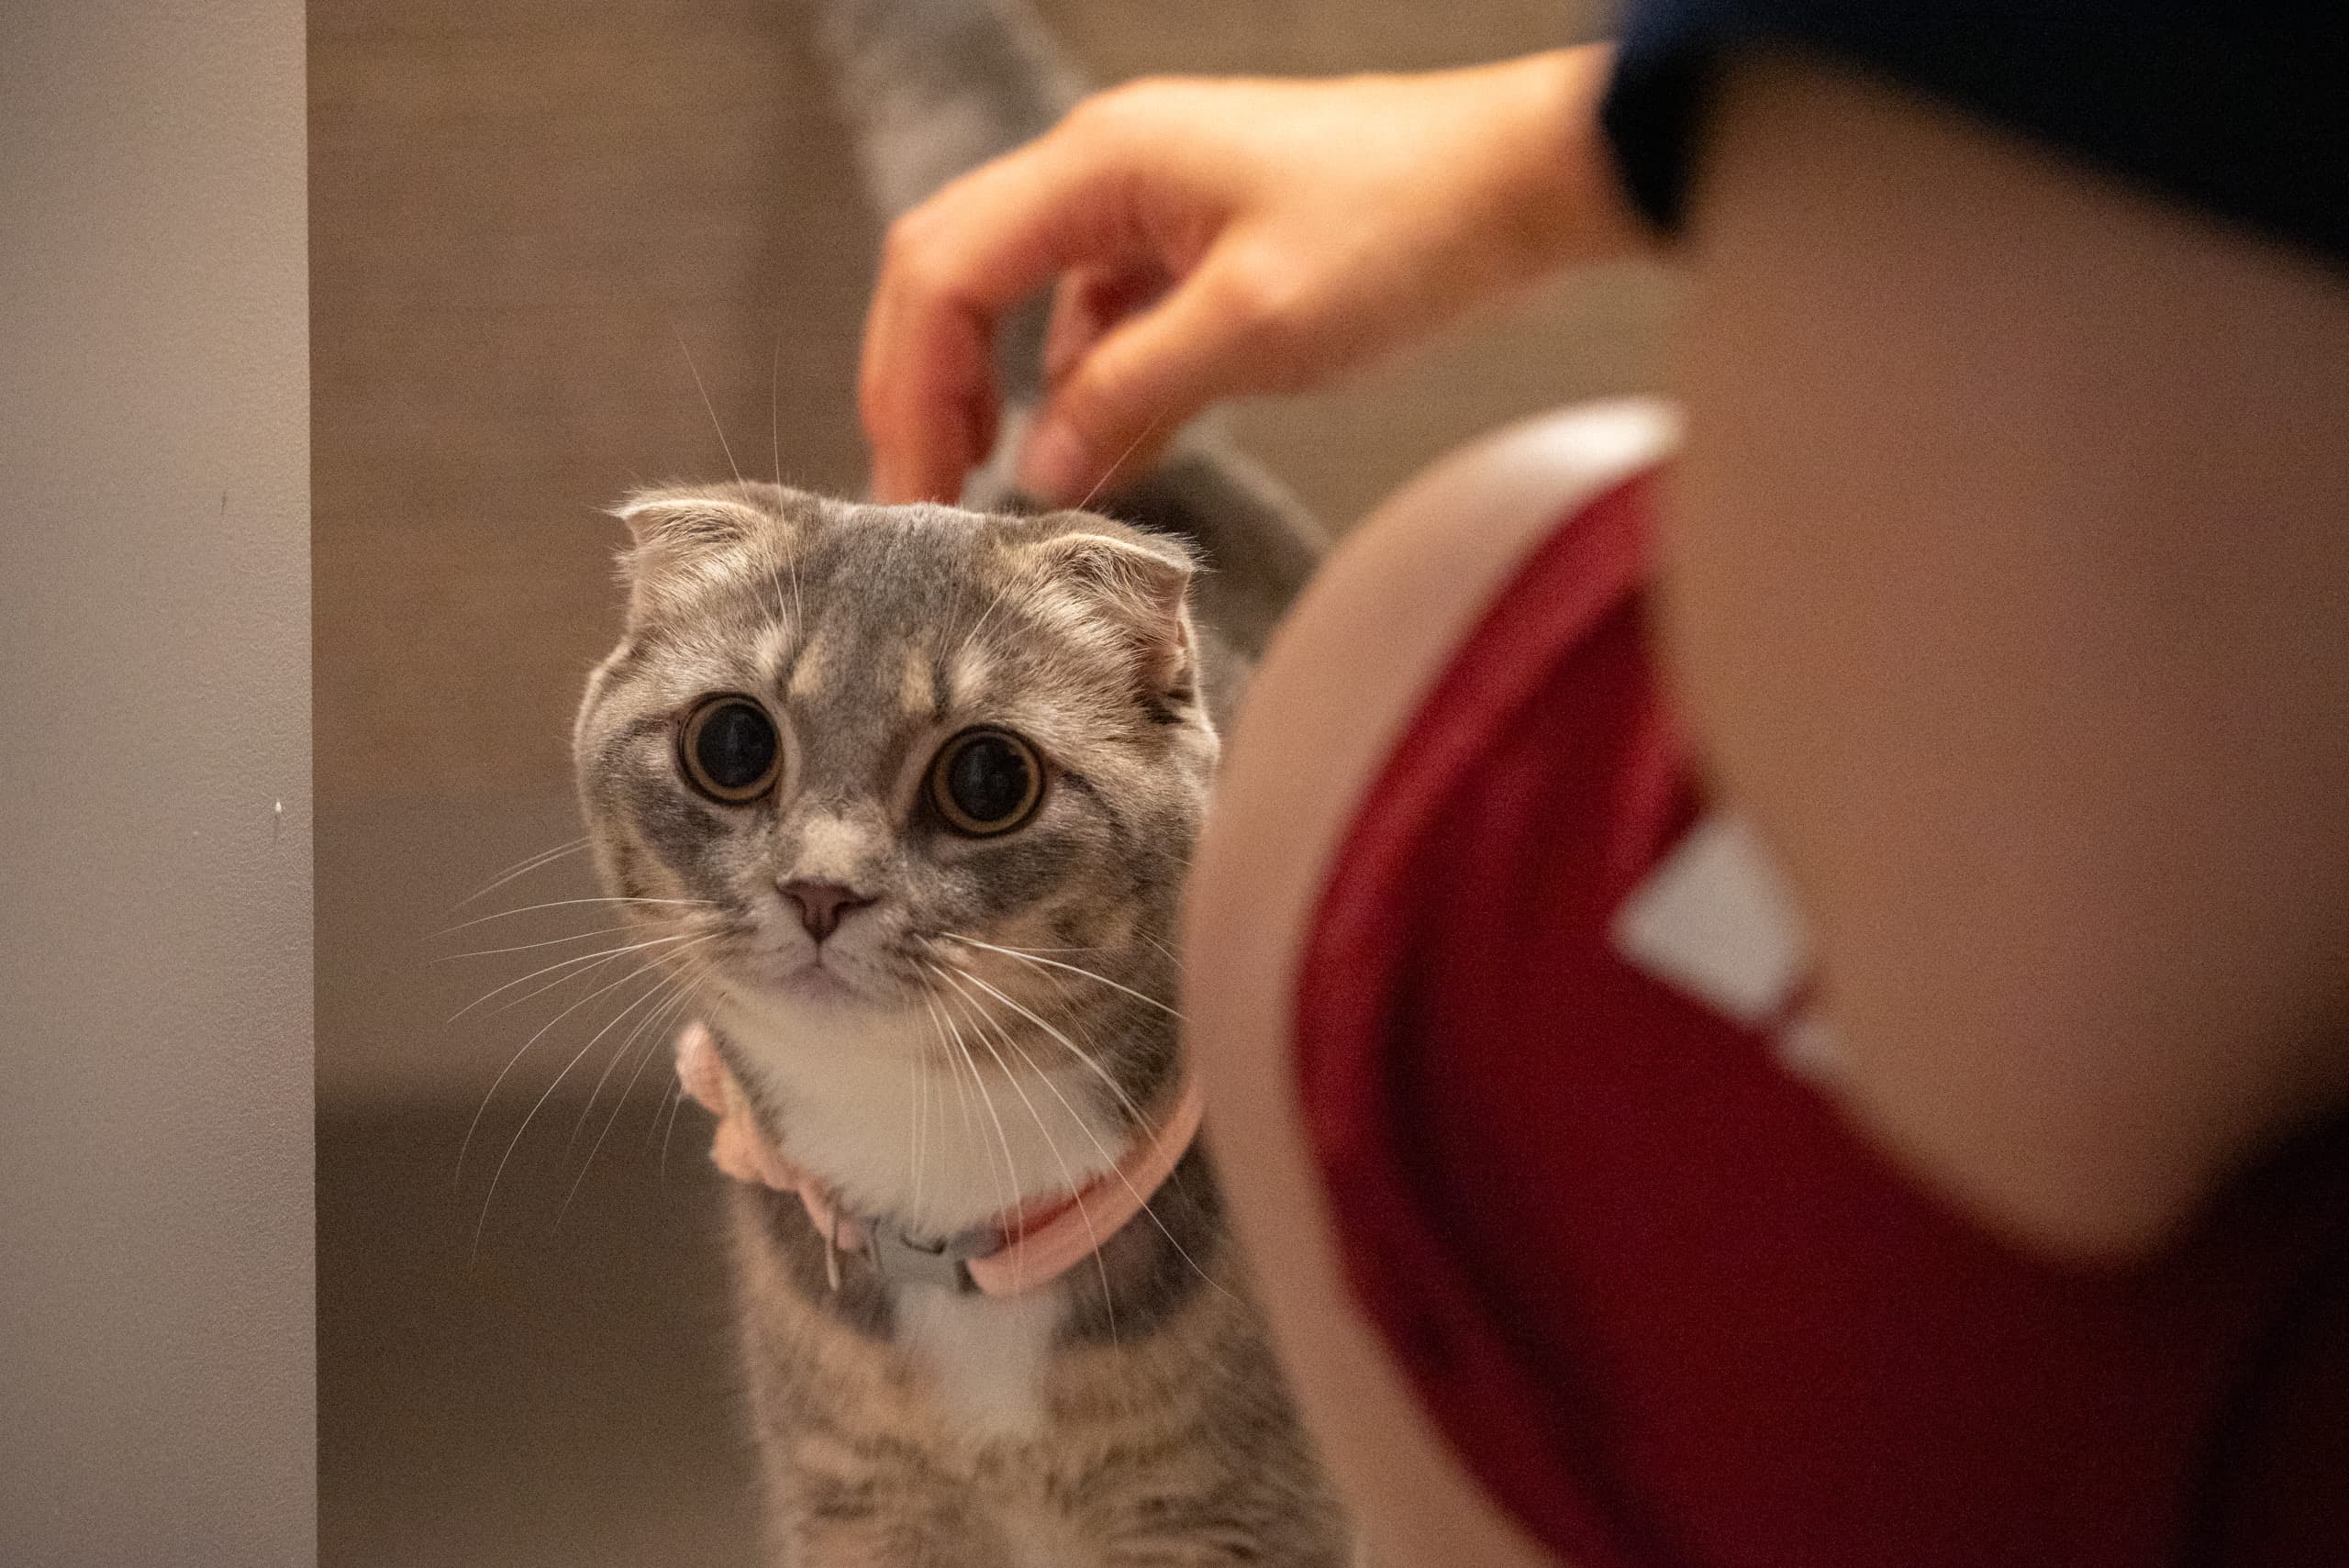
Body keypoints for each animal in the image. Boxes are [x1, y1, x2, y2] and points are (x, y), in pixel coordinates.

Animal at [563, 6, 1362, 1558]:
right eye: (733, 747)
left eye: (987, 776)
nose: (821, 889)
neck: (946, 1204)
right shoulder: (858, 1501)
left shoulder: (1238, 1515)